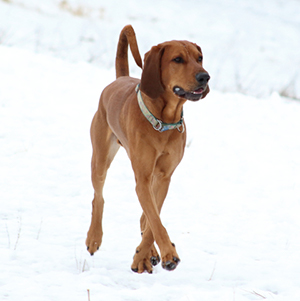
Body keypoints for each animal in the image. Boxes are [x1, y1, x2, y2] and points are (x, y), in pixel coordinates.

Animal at [85, 25, 210, 272]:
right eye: (177, 59)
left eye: (199, 58)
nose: (205, 76)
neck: (163, 120)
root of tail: (120, 78)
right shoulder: (143, 177)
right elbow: (155, 219)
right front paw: (168, 254)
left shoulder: (163, 177)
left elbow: (153, 219)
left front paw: (144, 255)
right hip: (100, 158)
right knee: (98, 197)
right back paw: (94, 237)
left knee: (145, 217)